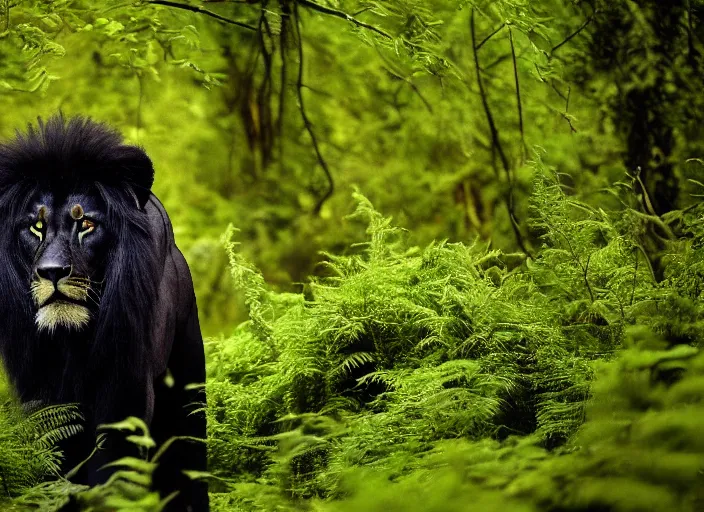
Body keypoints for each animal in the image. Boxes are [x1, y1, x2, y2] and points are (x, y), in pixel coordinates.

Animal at [0, 117, 209, 512]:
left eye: (87, 225)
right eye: (36, 226)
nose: (52, 272)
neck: (70, 341)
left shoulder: (123, 391)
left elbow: (112, 471)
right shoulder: (40, 397)